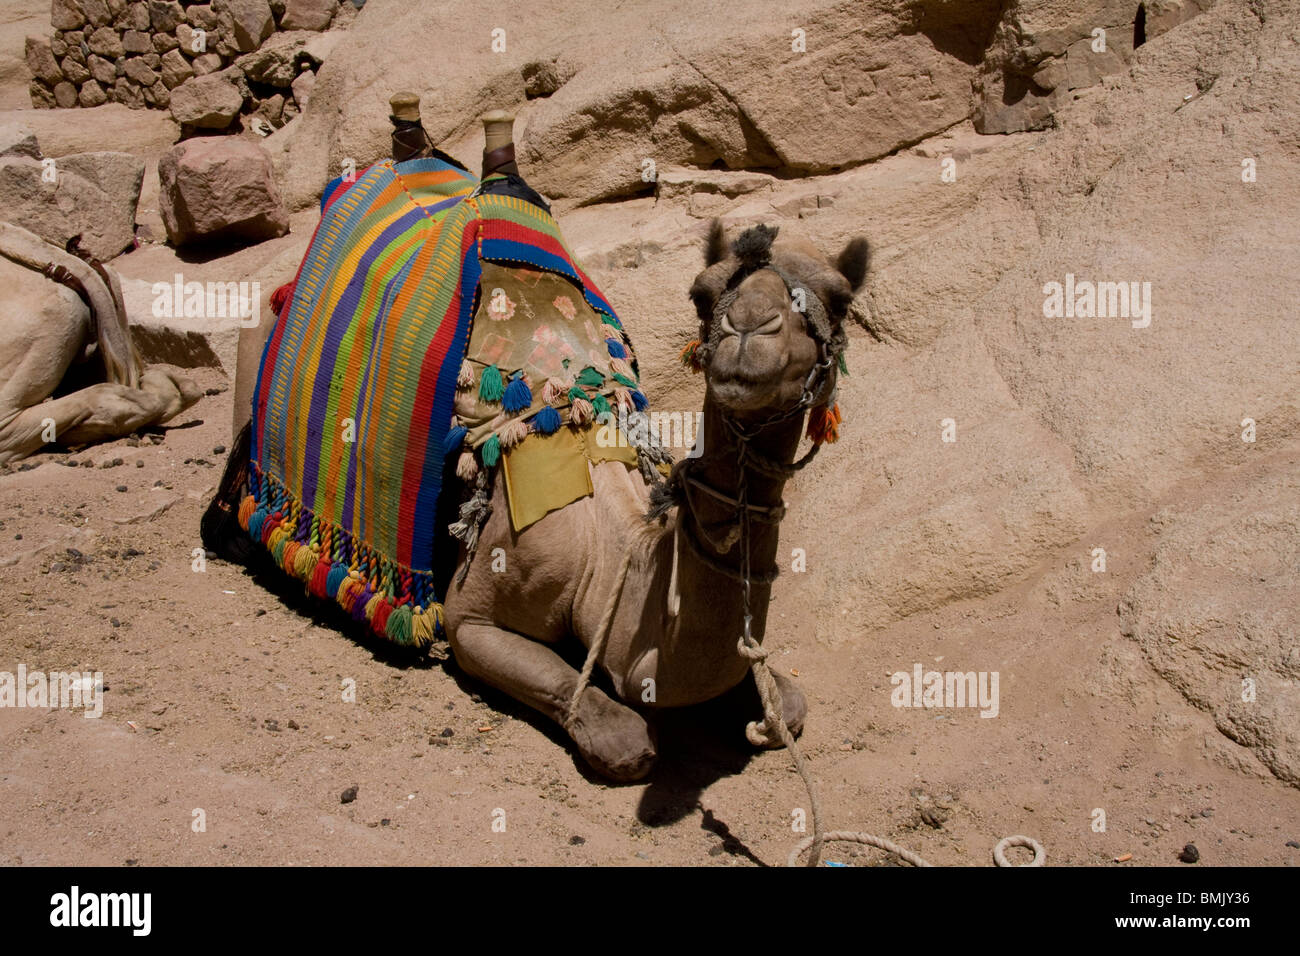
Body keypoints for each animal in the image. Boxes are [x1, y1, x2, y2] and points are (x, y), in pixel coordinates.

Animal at [210, 104, 863, 780]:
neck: (608, 546)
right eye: (703, 294)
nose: (748, 332)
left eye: (840, 299)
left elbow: (788, 699)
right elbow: (618, 735)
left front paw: (765, 709)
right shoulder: (473, 615)